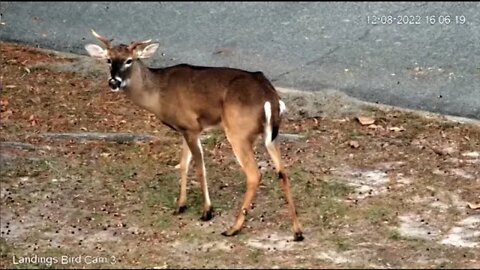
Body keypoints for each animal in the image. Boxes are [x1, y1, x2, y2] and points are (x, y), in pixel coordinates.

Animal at [84, 30, 304, 243]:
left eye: (129, 60)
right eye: (109, 60)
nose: (114, 82)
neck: (157, 94)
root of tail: (270, 97)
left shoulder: (191, 126)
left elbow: (199, 168)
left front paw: (207, 211)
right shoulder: (183, 128)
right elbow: (184, 164)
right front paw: (180, 206)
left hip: (238, 131)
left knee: (254, 175)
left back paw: (233, 229)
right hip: (271, 135)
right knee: (283, 172)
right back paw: (297, 232)